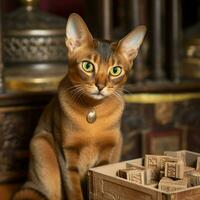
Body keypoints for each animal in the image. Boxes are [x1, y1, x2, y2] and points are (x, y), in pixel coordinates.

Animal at [13, 13, 146, 199]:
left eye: (115, 70)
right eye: (87, 66)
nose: (100, 86)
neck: (92, 111)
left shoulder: (107, 152)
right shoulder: (67, 153)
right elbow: (74, 192)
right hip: (41, 146)